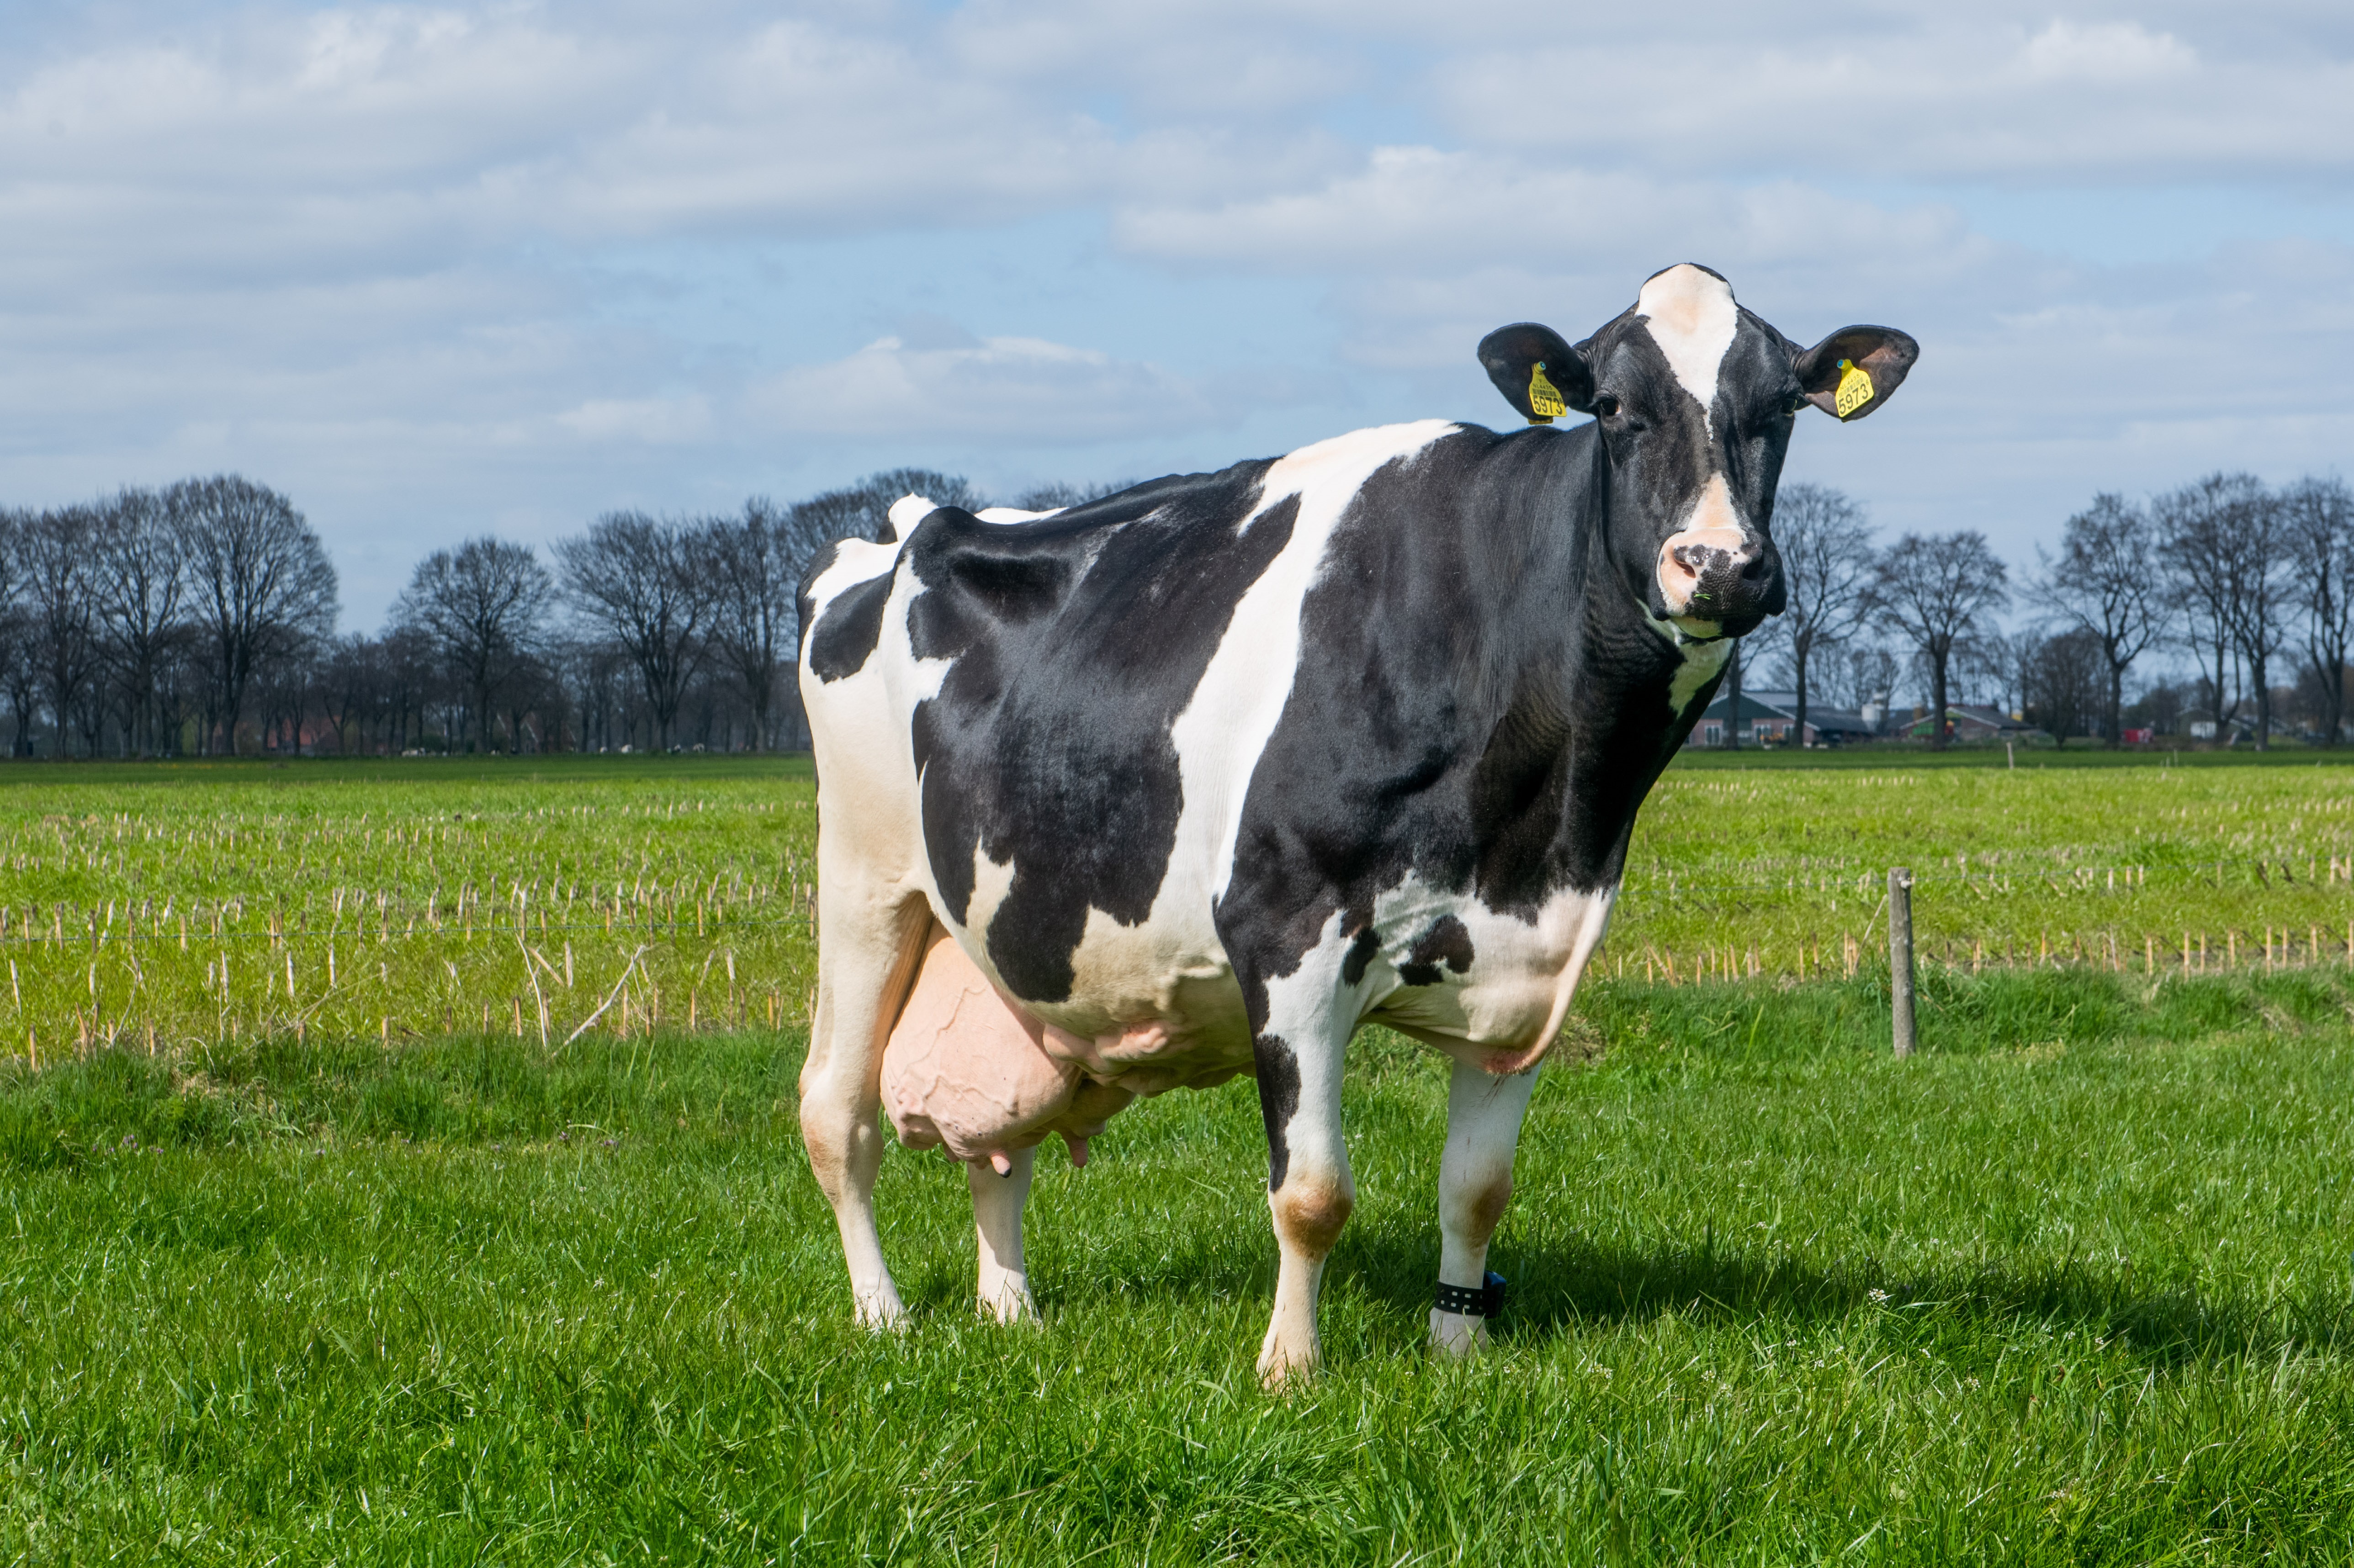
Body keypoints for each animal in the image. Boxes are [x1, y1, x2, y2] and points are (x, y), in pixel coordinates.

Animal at [791, 268, 1911, 1384]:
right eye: (1609, 407)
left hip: (1003, 932)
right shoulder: (1285, 930)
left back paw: (1010, 1310)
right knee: (835, 1110)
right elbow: (1312, 1192)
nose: (1718, 566)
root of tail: (906, 524)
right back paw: (882, 1315)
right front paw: (1289, 1368)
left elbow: (1477, 1189)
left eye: (1781, 407)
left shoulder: (1528, 965)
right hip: (863, 880)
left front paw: (1457, 1344)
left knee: (1001, 1143)